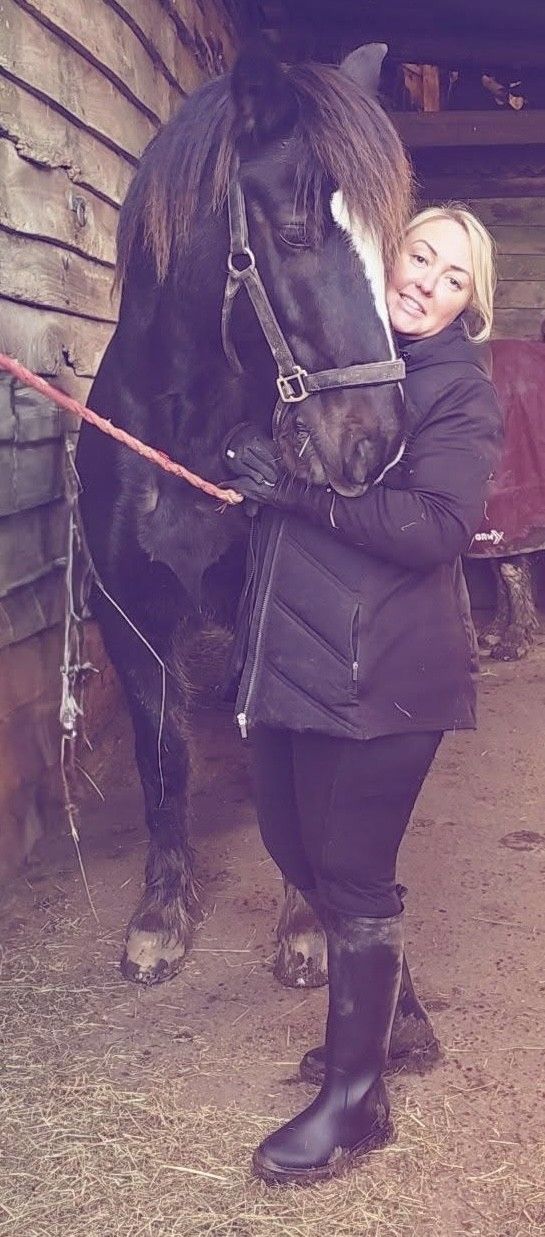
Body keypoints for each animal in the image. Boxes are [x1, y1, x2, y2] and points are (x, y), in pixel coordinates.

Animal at [75, 40, 412, 987]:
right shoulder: (128, 607)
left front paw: (307, 925)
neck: (188, 437)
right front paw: (159, 916)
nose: (375, 442)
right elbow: (161, 754)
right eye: (294, 233)